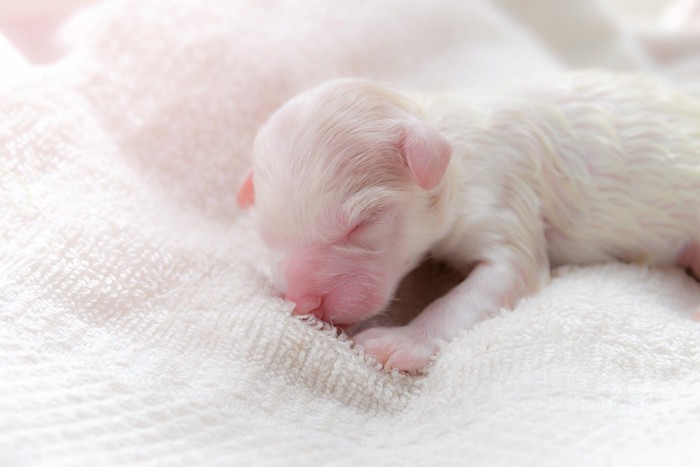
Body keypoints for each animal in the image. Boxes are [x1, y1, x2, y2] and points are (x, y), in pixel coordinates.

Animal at [237, 73, 700, 372]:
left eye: (363, 225)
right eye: (265, 231)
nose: (302, 302)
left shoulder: (503, 201)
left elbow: (494, 281)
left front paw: (398, 343)